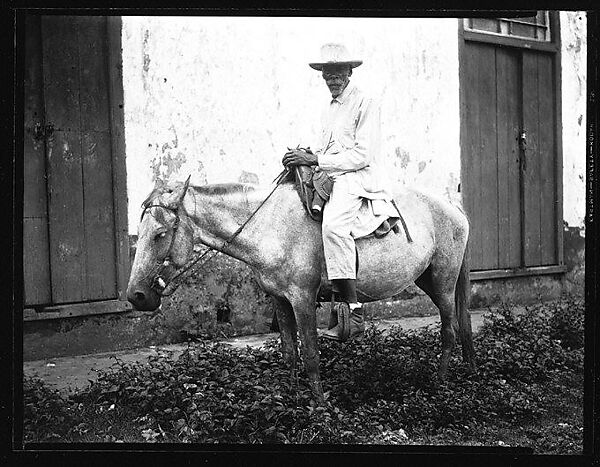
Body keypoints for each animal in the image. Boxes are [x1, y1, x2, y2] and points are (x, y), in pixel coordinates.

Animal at [129, 176, 476, 402]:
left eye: (160, 233)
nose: (136, 296)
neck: (269, 227)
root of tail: (454, 208)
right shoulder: (280, 299)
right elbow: (289, 352)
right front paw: (292, 397)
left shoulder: (303, 299)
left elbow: (310, 353)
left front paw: (319, 407)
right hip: (429, 279)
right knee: (463, 327)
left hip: (443, 283)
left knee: (450, 330)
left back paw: (440, 383)